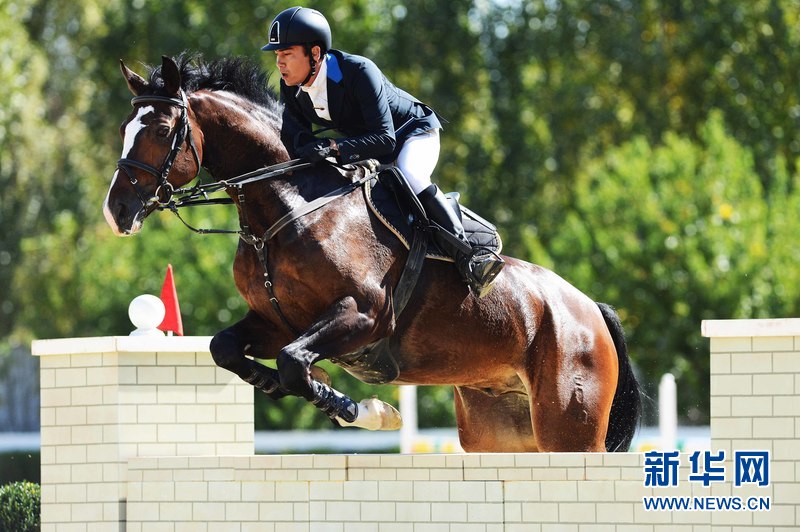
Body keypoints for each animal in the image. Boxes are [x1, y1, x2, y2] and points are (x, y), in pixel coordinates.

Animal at [103, 54, 641, 452]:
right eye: (126, 126)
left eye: (162, 129)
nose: (116, 211)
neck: (287, 206)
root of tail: (591, 309)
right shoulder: (276, 321)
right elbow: (227, 349)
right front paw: (289, 386)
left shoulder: (363, 315)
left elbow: (296, 363)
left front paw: (361, 410)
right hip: (499, 430)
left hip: (569, 426)